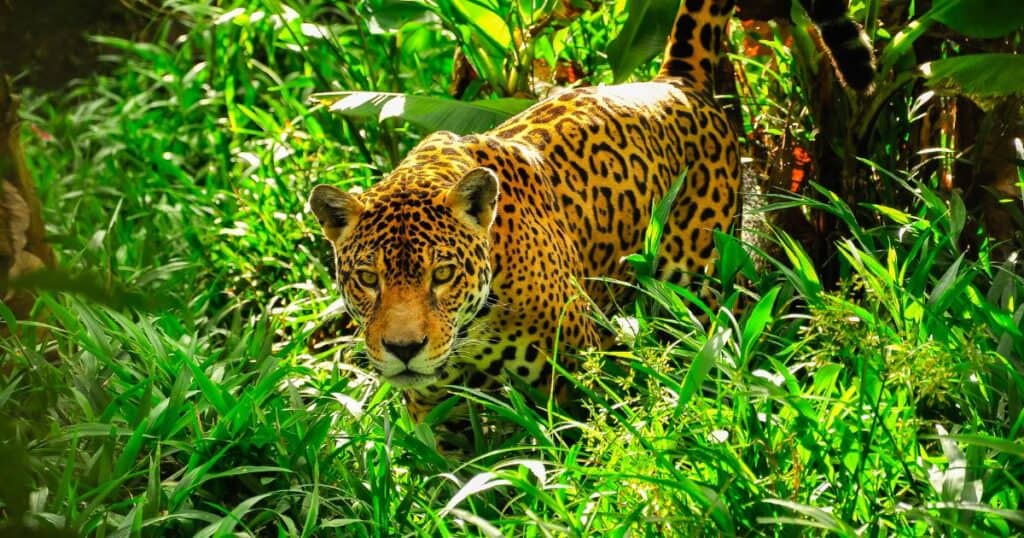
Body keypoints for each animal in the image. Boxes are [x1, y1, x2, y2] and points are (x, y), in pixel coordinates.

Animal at [309, 0, 874, 422]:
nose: (403, 349)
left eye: (442, 275)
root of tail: (675, 80)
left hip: (703, 283)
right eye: (367, 278)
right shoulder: (435, 412)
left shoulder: (574, 384)